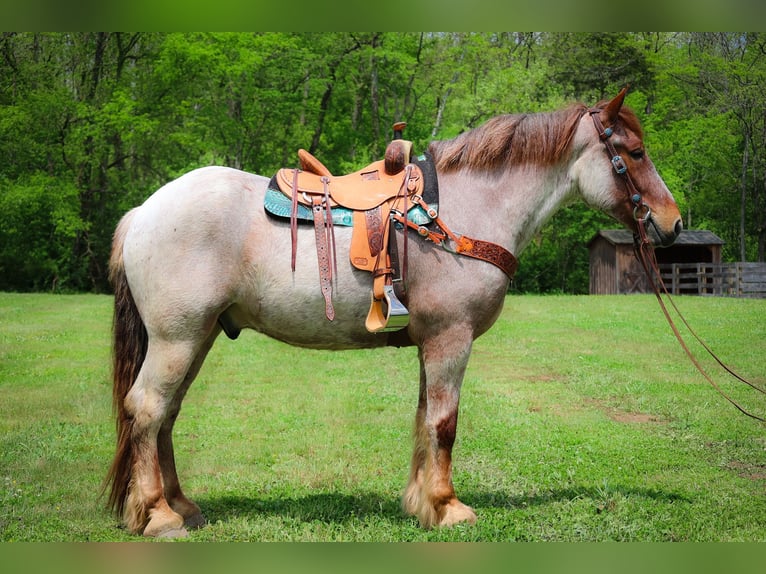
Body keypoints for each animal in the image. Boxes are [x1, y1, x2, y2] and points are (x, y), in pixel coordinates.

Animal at [103, 88, 684, 536]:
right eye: (633, 152)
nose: (672, 222)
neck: (463, 211)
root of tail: (143, 211)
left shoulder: (434, 342)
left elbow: (426, 419)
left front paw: (423, 503)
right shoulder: (452, 338)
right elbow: (446, 423)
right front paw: (449, 507)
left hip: (196, 338)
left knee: (167, 414)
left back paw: (181, 506)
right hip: (177, 339)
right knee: (148, 409)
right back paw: (158, 515)